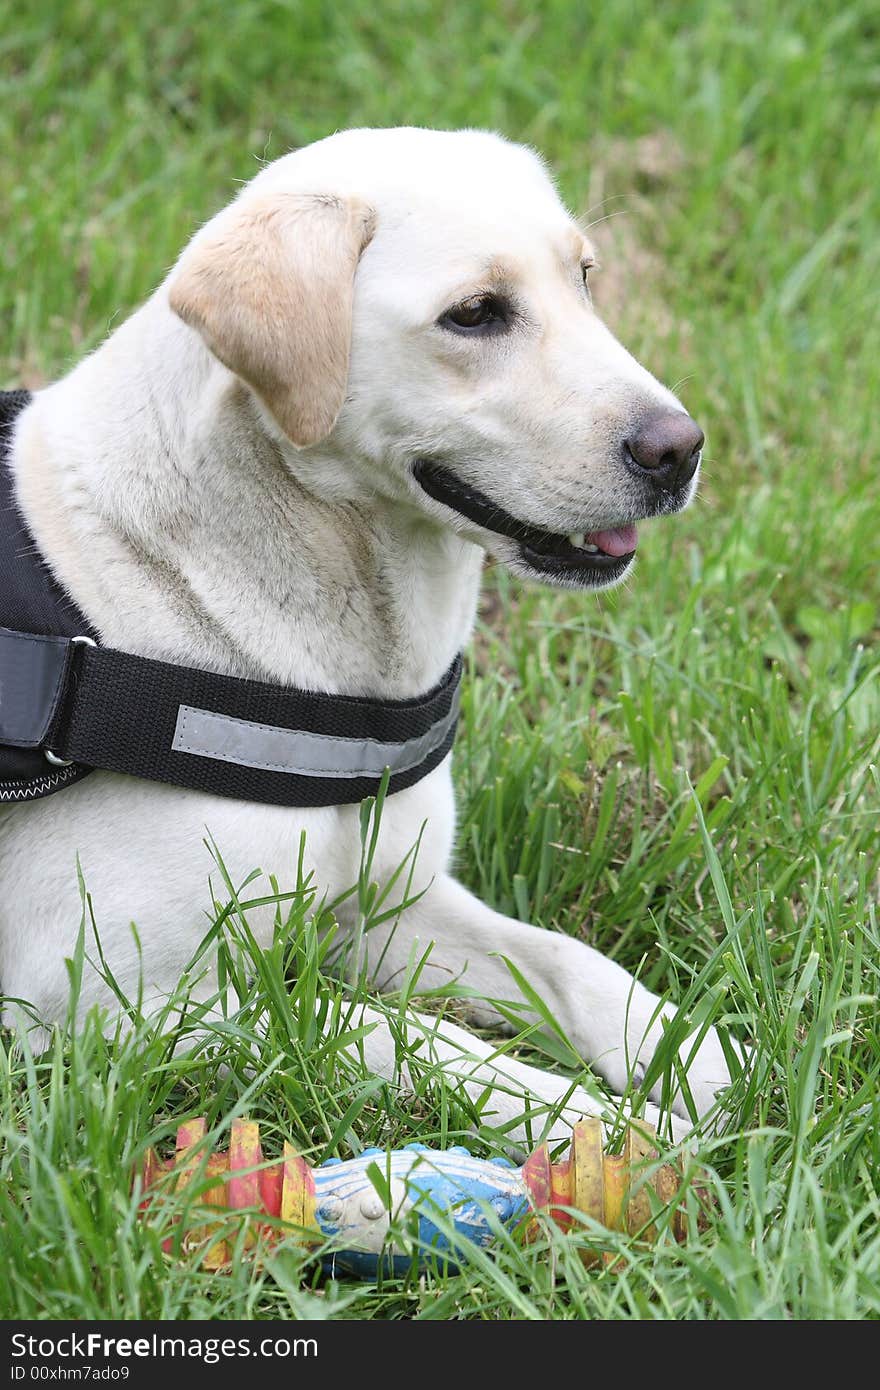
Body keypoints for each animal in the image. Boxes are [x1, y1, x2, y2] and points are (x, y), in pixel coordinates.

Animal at [1, 127, 728, 1150]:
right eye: (475, 314)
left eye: (585, 278)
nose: (681, 449)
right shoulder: (124, 1001)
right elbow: (417, 1043)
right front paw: (608, 1130)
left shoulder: (392, 904)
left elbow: (560, 959)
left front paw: (684, 1050)